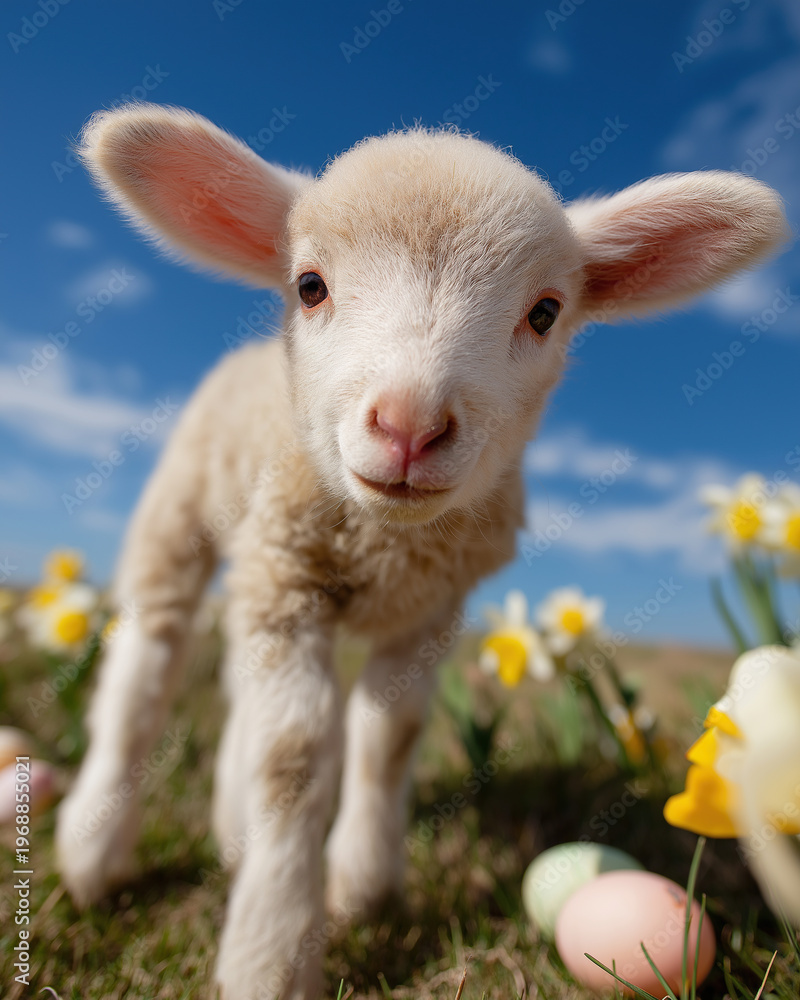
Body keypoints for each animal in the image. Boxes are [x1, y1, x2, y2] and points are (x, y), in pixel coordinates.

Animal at [55, 103, 789, 1000]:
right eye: (311, 286)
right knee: (145, 672)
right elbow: (292, 760)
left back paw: (228, 826)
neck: (386, 541)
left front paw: (364, 889)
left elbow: (389, 738)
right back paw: (94, 846)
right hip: (182, 517)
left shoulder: (428, 610)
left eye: (545, 312)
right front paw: (272, 952)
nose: (409, 425)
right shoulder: (289, 579)